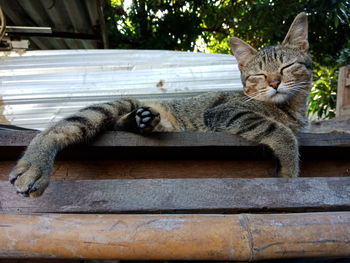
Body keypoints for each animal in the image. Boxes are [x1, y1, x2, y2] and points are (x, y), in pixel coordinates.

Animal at [8, 12, 312, 198]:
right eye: (259, 75)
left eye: (286, 67)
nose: (274, 82)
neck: (291, 109)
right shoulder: (224, 112)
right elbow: (281, 133)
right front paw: (290, 170)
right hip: (115, 103)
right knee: (57, 130)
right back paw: (33, 167)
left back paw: (142, 120)